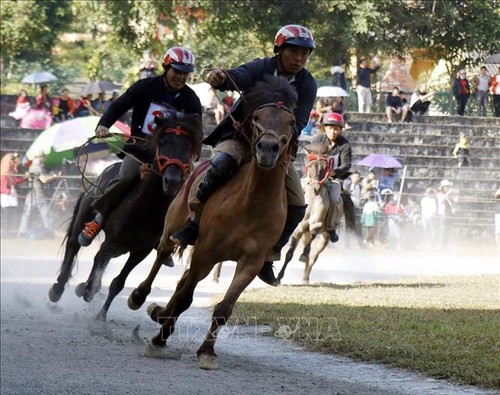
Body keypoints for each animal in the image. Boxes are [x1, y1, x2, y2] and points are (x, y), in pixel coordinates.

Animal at [47, 112, 202, 322]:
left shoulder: (140, 251)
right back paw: (58, 288)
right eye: (163, 142)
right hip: (86, 218)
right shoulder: (111, 242)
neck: (145, 209)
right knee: (74, 244)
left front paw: (100, 314)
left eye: (187, 146)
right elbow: (98, 265)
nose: (172, 180)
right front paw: (87, 291)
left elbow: (118, 283)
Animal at [127, 75, 296, 372]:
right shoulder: (206, 251)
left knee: (182, 280)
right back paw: (141, 298)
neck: (252, 203)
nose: (268, 149)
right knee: (162, 257)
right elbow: (186, 297)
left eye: (291, 122)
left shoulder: (250, 262)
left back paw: (161, 314)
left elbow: (224, 308)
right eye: (257, 117)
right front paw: (159, 340)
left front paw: (206, 350)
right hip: (174, 228)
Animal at [276, 145, 358, 284]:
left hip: (325, 237)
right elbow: (289, 254)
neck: (312, 201)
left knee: (314, 257)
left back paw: (306, 277)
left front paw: (303, 256)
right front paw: (278, 277)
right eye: (310, 166)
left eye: (325, 168)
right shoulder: (299, 228)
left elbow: (310, 245)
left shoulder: (316, 224)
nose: (316, 188)